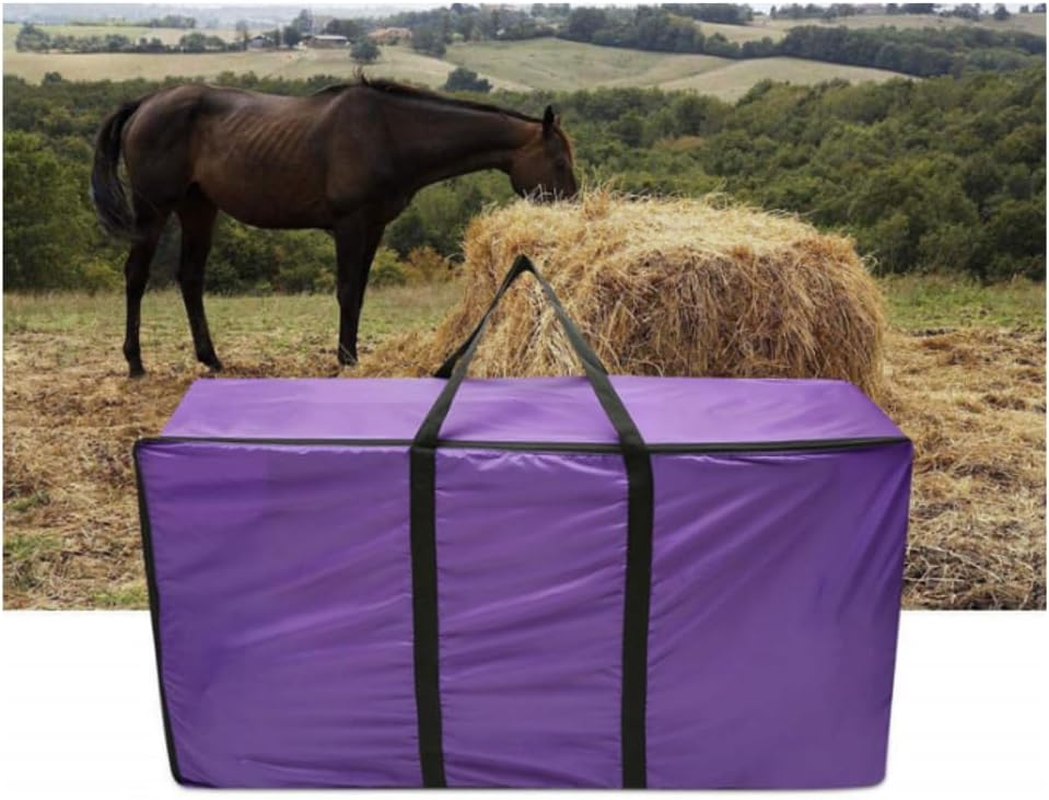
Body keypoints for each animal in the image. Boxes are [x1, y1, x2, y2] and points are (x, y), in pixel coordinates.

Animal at [91, 76, 578, 377]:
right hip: (153, 210)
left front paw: (353, 354)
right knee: (136, 276)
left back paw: (211, 359)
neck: (390, 133)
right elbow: (345, 291)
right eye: (559, 161)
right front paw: (345, 358)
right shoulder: (349, 226)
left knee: (190, 278)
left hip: (199, 208)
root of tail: (144, 105)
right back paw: (135, 363)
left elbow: (358, 293)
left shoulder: (374, 228)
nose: (573, 204)